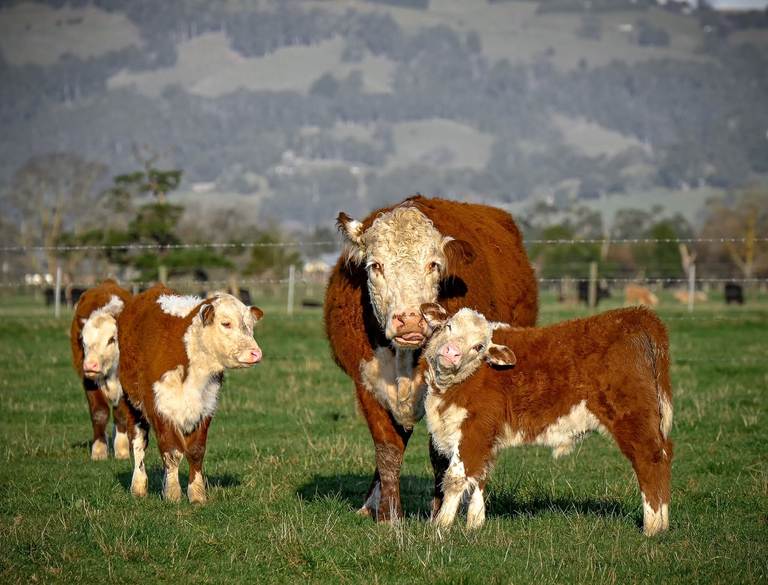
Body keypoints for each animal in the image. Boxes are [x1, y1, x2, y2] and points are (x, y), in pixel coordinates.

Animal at [69, 279, 132, 460]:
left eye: (112, 339)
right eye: (83, 340)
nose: (90, 365)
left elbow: (121, 413)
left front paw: (122, 448)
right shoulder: (89, 381)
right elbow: (99, 412)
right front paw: (99, 449)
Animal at [117, 285, 263, 503]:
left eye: (250, 325)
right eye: (226, 323)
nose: (256, 353)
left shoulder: (206, 406)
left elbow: (195, 451)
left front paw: (197, 494)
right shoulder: (159, 406)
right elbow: (171, 451)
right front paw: (172, 493)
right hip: (131, 402)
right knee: (138, 442)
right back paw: (139, 486)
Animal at [324, 195, 538, 521]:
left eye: (433, 264)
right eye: (375, 265)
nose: (410, 320)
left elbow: (440, 454)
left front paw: (440, 512)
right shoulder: (367, 385)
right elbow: (388, 450)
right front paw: (389, 515)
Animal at [420, 303, 673, 536]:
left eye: (478, 346)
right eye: (448, 326)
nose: (450, 352)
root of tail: (636, 315)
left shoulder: (475, 430)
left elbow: (455, 478)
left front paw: (440, 526)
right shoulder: (487, 437)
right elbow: (480, 476)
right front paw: (475, 523)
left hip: (632, 417)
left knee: (649, 460)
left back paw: (652, 527)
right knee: (664, 455)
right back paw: (663, 525)